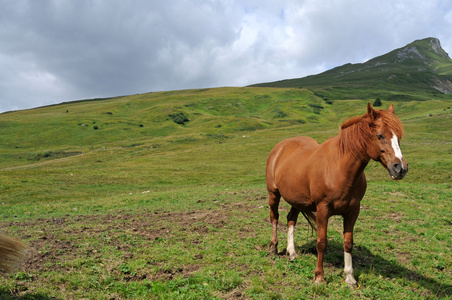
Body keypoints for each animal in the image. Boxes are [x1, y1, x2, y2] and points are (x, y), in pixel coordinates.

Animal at [266, 103, 408, 288]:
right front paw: (319, 277)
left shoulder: (353, 211)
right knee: (274, 217)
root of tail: (280, 147)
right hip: (273, 194)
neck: (340, 168)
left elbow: (348, 243)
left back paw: (292, 253)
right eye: (380, 135)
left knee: (291, 219)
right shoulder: (322, 210)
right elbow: (321, 243)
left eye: (398, 137)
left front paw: (350, 278)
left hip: (296, 199)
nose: (401, 168)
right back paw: (273, 248)